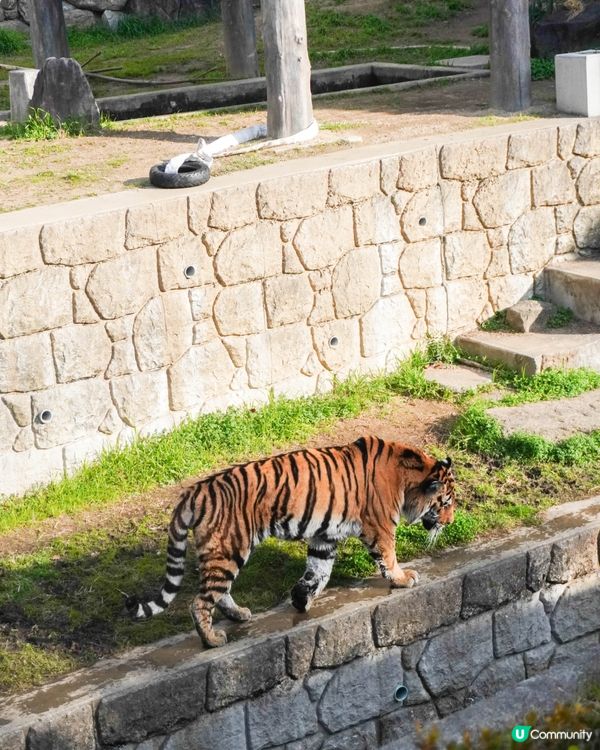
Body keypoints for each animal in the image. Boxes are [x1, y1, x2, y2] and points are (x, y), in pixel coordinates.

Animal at [126, 438, 454, 648]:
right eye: (446, 502)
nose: (450, 522)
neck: (409, 478)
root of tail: (194, 491)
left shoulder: (325, 536)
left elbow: (318, 572)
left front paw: (300, 598)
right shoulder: (380, 526)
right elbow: (389, 556)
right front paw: (403, 578)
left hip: (223, 553)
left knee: (217, 592)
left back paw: (239, 614)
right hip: (229, 549)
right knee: (200, 601)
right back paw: (212, 640)